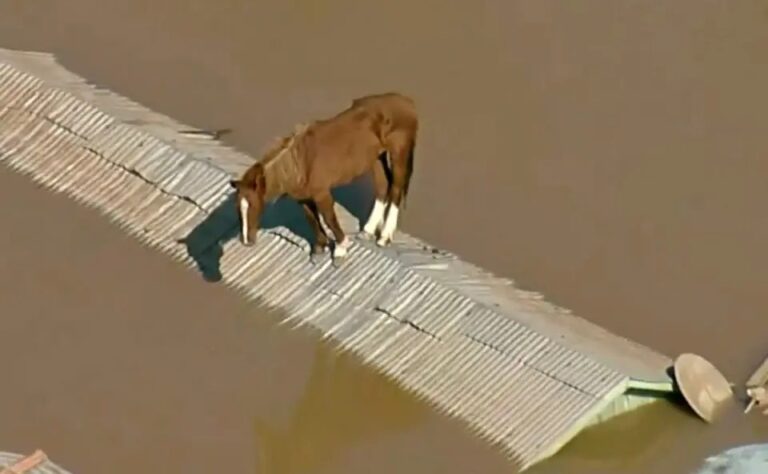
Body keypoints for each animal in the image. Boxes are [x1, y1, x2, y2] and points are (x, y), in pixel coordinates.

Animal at [229, 92, 419, 261]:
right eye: (238, 208)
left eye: (253, 205)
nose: (246, 241)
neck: (300, 162)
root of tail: (407, 102)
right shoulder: (303, 198)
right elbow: (312, 220)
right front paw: (320, 247)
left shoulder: (322, 194)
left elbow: (329, 218)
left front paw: (340, 249)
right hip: (377, 157)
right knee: (383, 186)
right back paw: (368, 230)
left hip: (399, 152)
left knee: (396, 189)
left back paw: (384, 237)